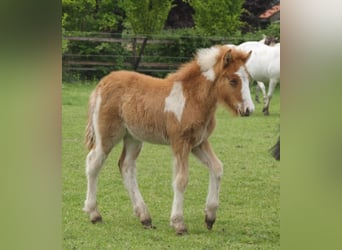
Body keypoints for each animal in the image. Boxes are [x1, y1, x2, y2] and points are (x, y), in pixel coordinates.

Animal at [83, 45, 254, 234]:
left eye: (249, 79)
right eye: (233, 80)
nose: (249, 110)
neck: (193, 98)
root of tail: (102, 83)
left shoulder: (198, 142)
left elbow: (217, 168)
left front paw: (210, 217)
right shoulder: (180, 142)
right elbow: (181, 180)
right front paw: (179, 223)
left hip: (133, 137)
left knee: (126, 167)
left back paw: (144, 217)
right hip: (107, 136)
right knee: (93, 163)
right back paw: (94, 214)